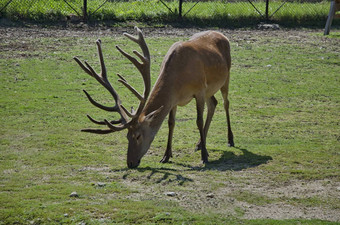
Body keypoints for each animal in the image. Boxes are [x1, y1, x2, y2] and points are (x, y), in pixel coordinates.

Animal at [74, 27, 234, 168]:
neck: (179, 78)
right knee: (213, 103)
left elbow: (198, 121)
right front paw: (166, 156)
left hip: (225, 77)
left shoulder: (199, 90)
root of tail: (222, 34)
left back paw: (229, 139)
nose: (130, 163)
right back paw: (199, 144)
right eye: (127, 136)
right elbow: (171, 123)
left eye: (138, 136)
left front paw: (205, 157)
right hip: (210, 90)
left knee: (225, 102)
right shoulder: (174, 99)